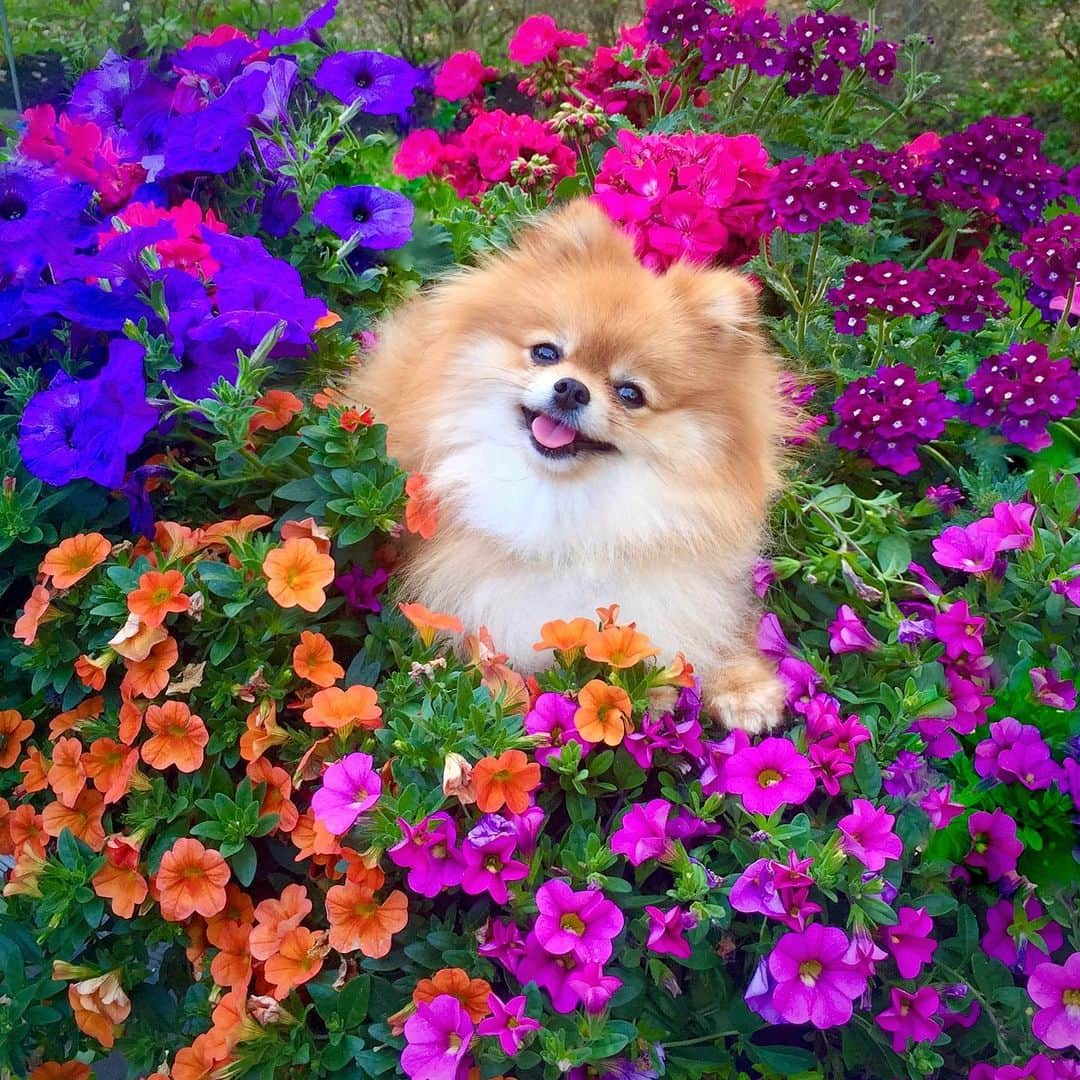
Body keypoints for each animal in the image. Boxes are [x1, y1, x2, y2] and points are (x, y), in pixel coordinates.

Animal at [349, 198, 790, 730]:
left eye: (630, 393)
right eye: (545, 352)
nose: (571, 388)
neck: (565, 500)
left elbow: (713, 624)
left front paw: (743, 688)